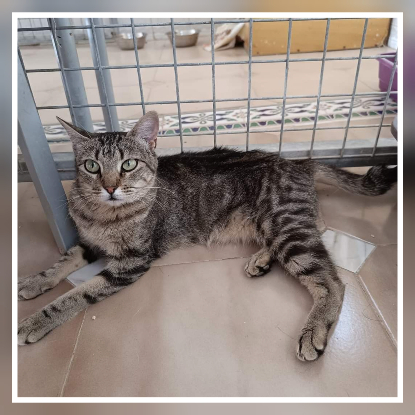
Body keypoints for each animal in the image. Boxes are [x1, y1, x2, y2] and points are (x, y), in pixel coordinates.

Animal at [18, 111, 397, 361]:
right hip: (279, 225)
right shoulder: (87, 242)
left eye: (128, 165)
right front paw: (35, 281)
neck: (102, 215)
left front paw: (36, 320)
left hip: (286, 226)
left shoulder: (132, 262)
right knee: (316, 225)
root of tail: (298, 162)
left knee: (331, 280)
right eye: (91, 166)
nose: (110, 188)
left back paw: (314, 329)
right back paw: (261, 259)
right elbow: (62, 262)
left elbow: (77, 294)